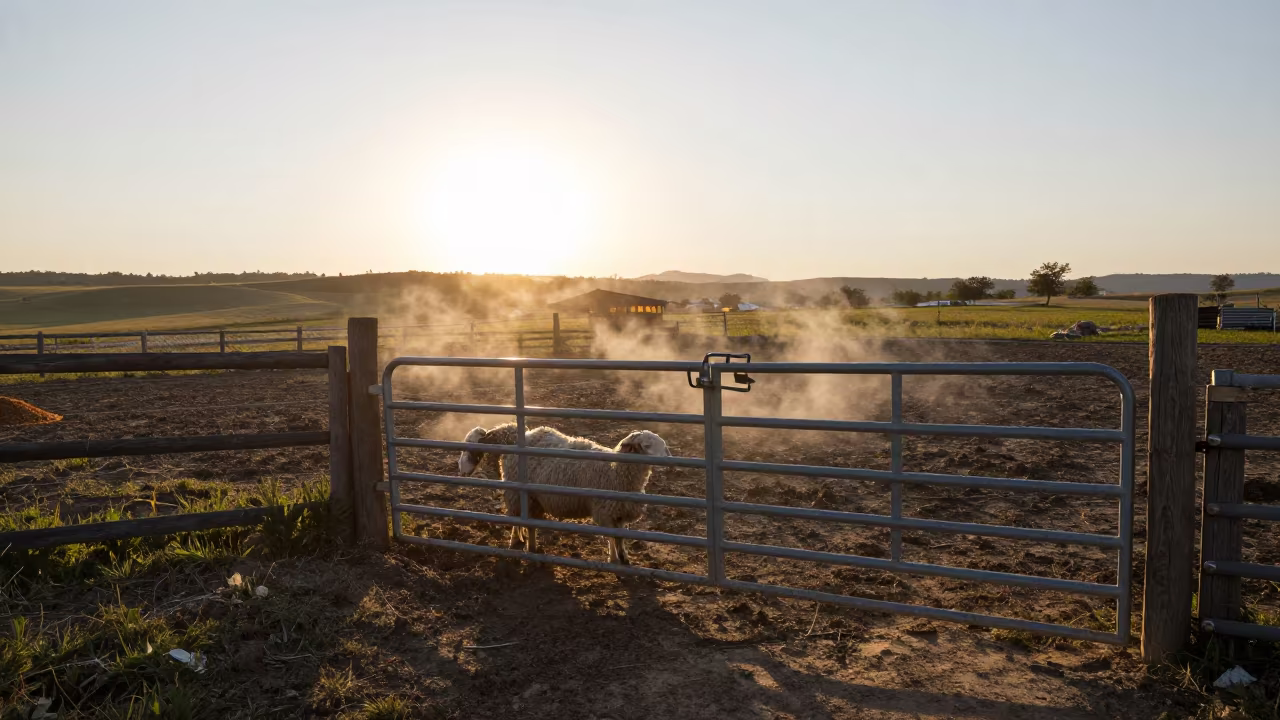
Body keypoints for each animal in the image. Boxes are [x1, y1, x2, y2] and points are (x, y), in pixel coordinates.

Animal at [458, 423, 671, 564]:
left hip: (529, 497)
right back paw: (520, 545)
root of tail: (518, 437)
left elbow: (620, 538)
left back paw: (526, 544)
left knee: (526, 523)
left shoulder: (619, 513)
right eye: (647, 445)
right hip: (518, 494)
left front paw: (622, 558)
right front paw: (615, 559)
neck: (617, 471)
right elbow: (613, 538)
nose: (668, 459)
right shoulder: (605, 511)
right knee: (518, 521)